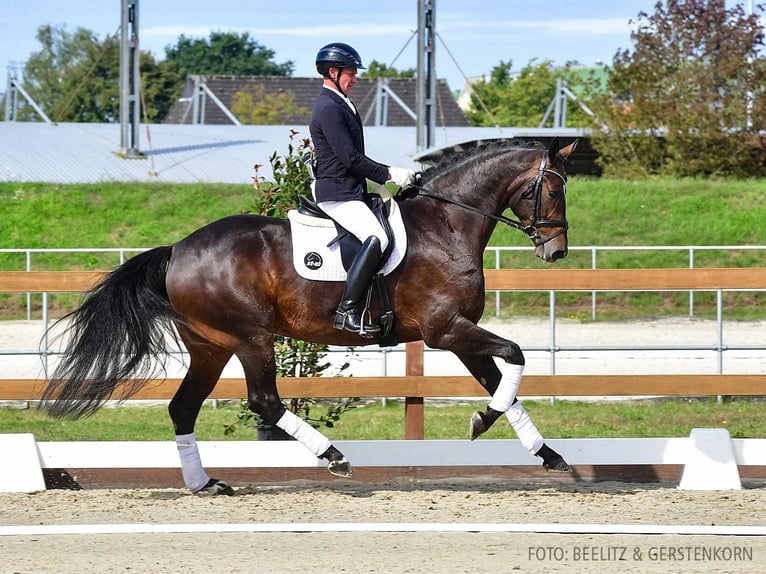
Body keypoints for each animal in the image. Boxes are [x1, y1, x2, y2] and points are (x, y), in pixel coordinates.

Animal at [40, 138, 576, 496]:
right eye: (552, 192)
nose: (556, 251)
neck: (445, 225)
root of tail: (179, 249)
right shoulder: (445, 330)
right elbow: (516, 355)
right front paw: (485, 421)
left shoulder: (459, 333)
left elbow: (504, 386)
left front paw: (542, 452)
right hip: (250, 337)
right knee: (263, 401)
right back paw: (333, 457)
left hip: (210, 346)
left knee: (183, 408)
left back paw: (204, 484)